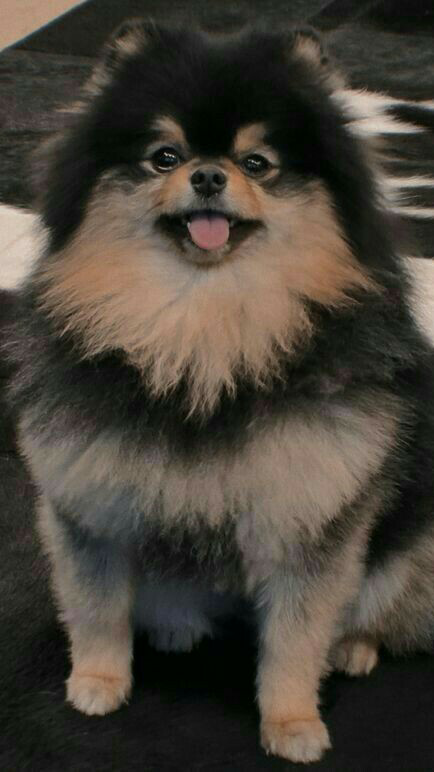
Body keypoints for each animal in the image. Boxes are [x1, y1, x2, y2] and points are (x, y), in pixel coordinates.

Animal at [8, 20, 434, 763]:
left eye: (257, 162)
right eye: (164, 156)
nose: (207, 174)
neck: (205, 328)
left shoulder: (311, 514)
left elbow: (296, 638)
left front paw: (292, 724)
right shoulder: (91, 501)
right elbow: (97, 608)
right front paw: (96, 681)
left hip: (412, 543)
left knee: (383, 603)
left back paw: (353, 647)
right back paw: (178, 623)